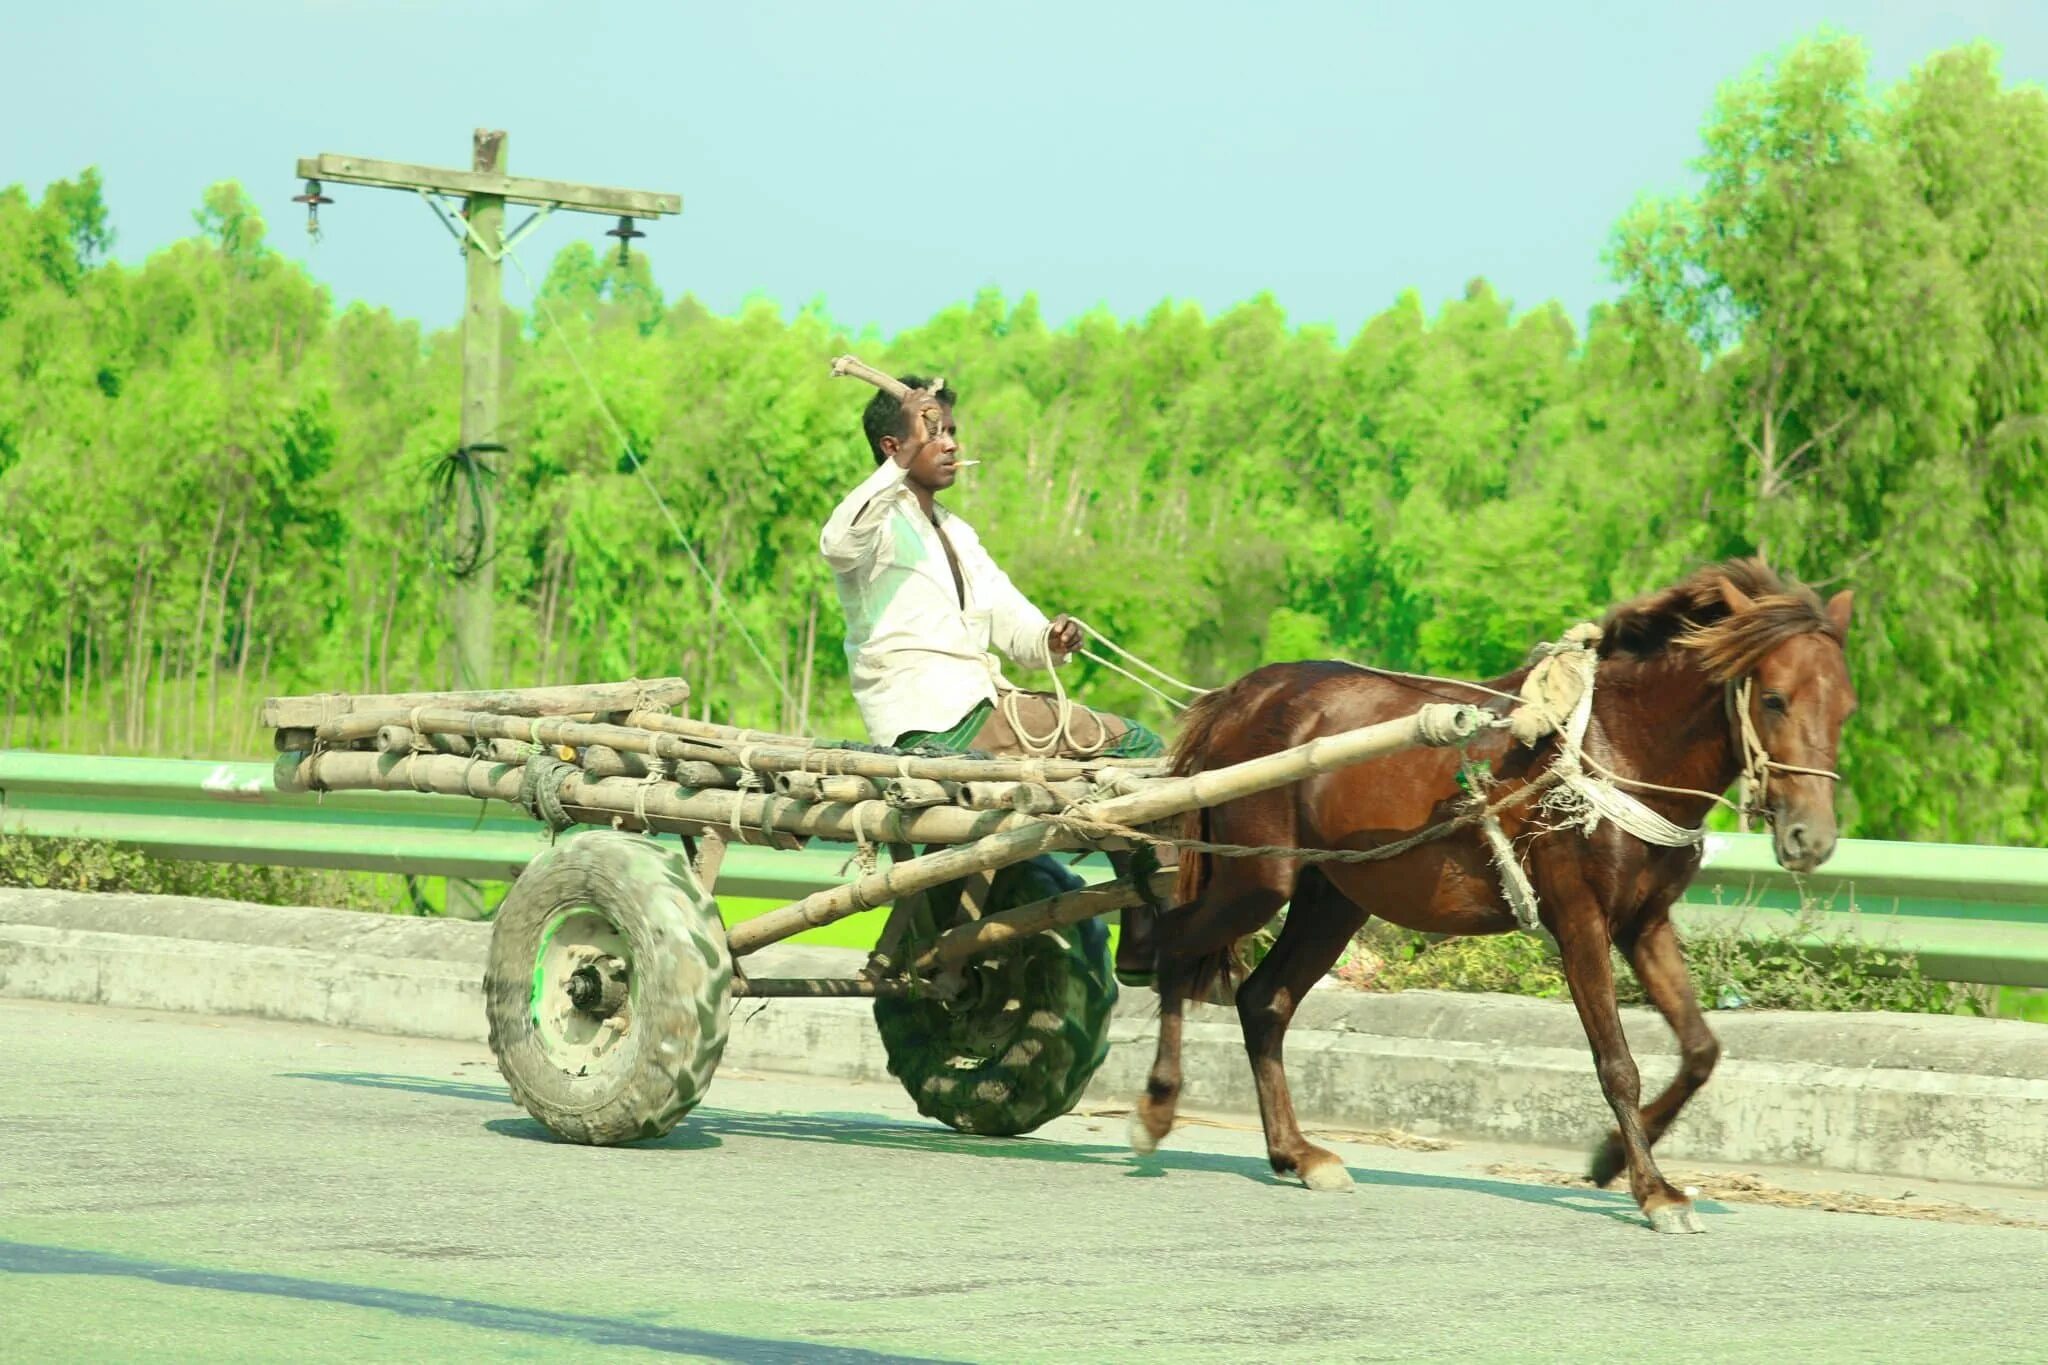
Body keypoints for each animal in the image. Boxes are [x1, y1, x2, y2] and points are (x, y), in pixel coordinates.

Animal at [1138, 560, 1859, 1236]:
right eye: (1774, 698)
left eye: (1846, 706)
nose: (1812, 837)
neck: (1620, 744)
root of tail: (1241, 693)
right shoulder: (1580, 918)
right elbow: (1617, 1063)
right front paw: (1653, 1191)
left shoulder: (1646, 921)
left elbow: (1702, 1050)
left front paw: (1612, 1158)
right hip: (1256, 880)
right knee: (1168, 947)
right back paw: (1156, 1106)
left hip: (1334, 894)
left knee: (1264, 1000)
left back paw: (1296, 1152)